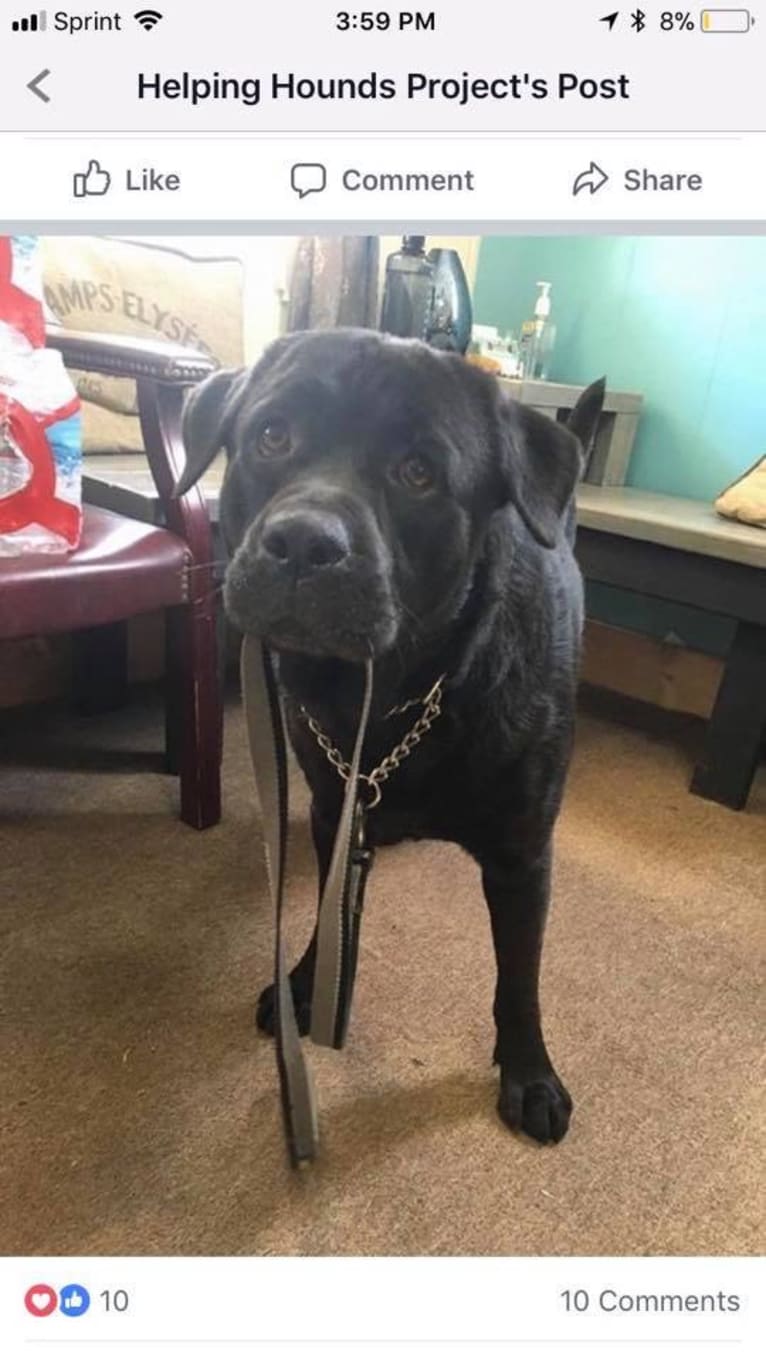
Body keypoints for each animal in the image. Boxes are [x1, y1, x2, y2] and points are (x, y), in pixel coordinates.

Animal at [178, 332, 602, 1149]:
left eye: (419, 473)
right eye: (271, 436)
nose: (304, 541)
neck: (394, 704)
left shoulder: (523, 855)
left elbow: (520, 975)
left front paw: (530, 1075)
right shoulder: (331, 814)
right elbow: (325, 911)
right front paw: (306, 987)